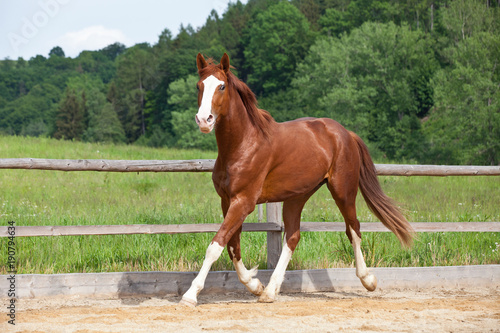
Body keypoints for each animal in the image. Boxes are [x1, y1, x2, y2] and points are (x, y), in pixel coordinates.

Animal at [180, 52, 414, 306]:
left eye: (221, 86)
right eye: (199, 85)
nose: (204, 120)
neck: (242, 144)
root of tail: (345, 133)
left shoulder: (243, 201)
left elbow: (216, 245)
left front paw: (190, 295)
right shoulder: (227, 201)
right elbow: (232, 245)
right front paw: (254, 285)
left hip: (343, 190)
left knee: (353, 229)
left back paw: (368, 280)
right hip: (297, 197)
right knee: (292, 237)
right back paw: (270, 291)